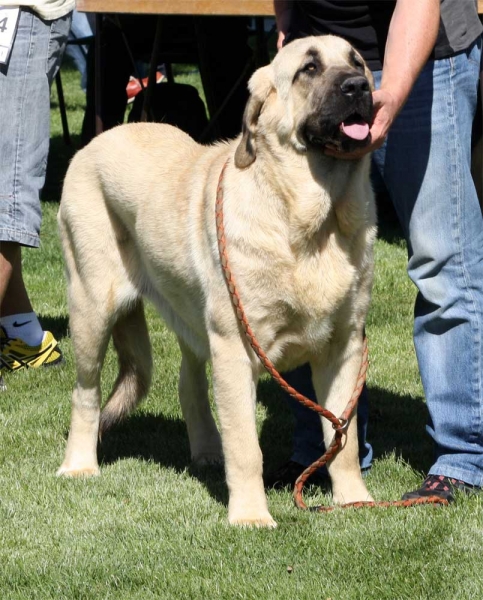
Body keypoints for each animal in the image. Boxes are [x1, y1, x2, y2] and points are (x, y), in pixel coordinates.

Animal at [57, 36, 378, 524]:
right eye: (309, 68)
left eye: (357, 62)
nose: (358, 87)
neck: (312, 225)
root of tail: (94, 141)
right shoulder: (236, 348)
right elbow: (246, 445)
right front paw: (250, 517)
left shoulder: (344, 347)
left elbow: (343, 438)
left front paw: (354, 500)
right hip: (93, 308)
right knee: (86, 393)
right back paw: (78, 465)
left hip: (190, 313)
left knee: (188, 382)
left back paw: (207, 450)